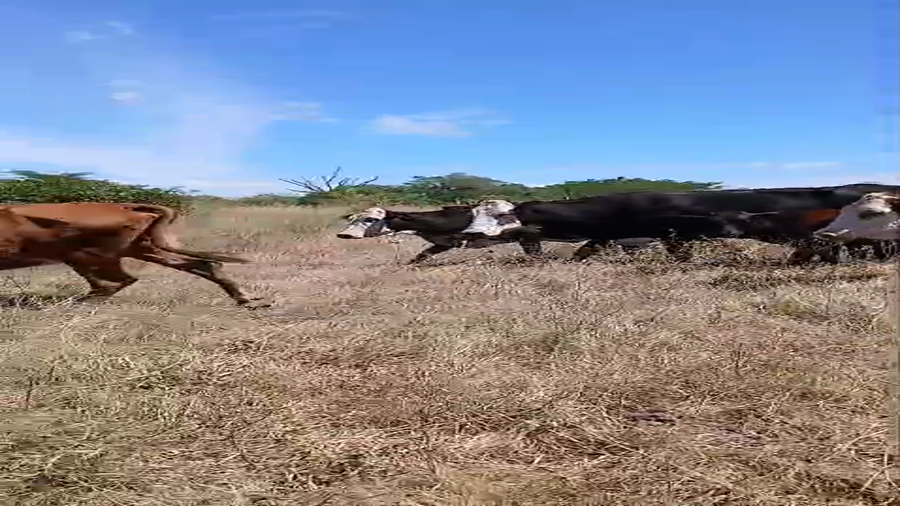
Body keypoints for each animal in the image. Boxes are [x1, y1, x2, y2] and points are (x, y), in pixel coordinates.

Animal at [0, 202, 271, 308]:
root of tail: (125, 206)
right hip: (142, 249)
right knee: (206, 263)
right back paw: (244, 298)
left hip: (88, 257)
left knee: (119, 281)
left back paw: (77, 303)